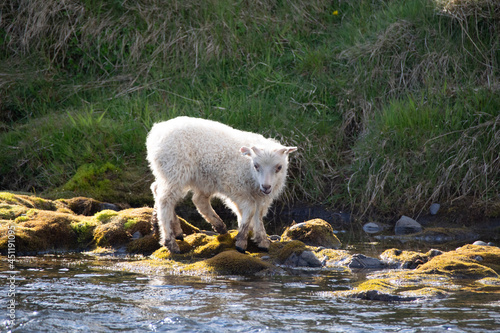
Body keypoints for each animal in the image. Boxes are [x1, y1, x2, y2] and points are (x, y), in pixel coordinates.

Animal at [148, 115, 296, 253]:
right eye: (256, 165)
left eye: (279, 167)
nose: (266, 187)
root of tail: (157, 130)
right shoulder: (235, 186)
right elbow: (250, 209)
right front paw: (241, 241)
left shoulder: (259, 195)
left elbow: (258, 215)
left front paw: (262, 240)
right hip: (176, 170)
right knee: (165, 201)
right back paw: (170, 241)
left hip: (191, 177)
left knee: (173, 193)